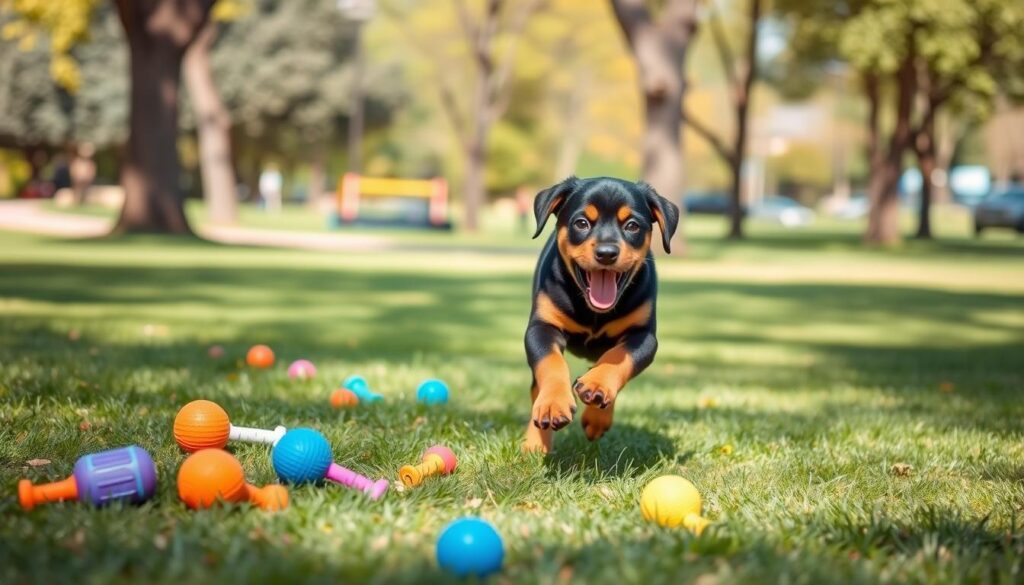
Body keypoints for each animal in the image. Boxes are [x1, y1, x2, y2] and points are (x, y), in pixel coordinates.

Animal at [520, 176, 679, 454]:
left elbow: (618, 358)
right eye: (581, 223)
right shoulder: (541, 329)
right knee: (535, 388)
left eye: (632, 226)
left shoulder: (643, 337)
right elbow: (551, 363)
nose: (606, 253)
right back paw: (536, 441)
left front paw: (597, 386)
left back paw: (597, 415)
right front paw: (552, 404)